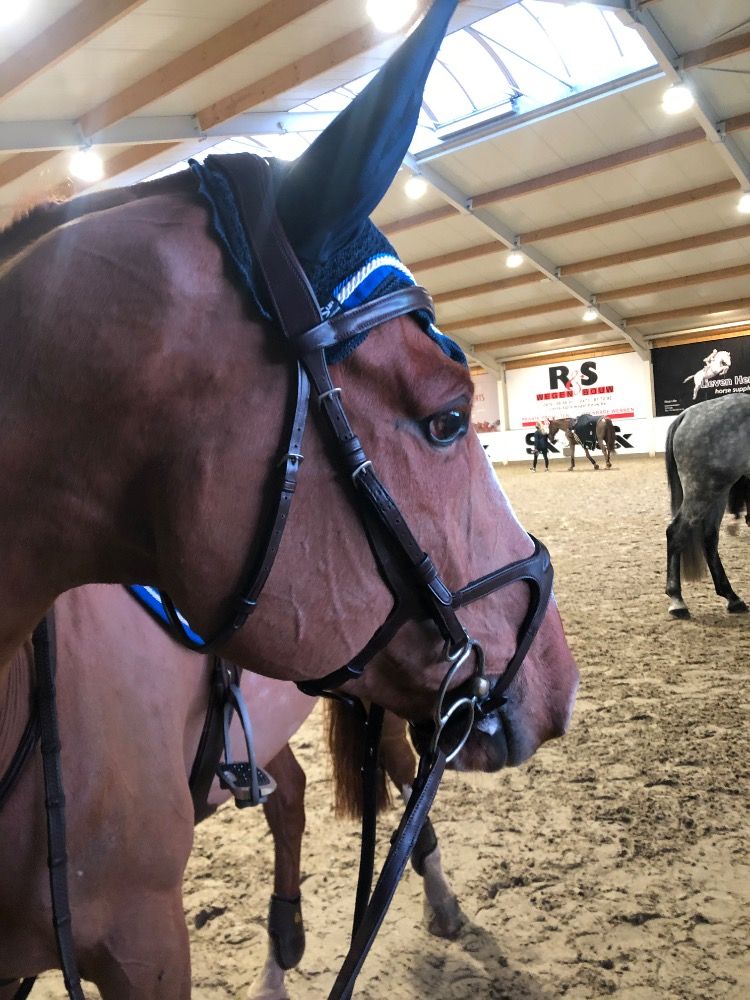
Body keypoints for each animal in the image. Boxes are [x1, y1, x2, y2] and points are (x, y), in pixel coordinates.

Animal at [664, 393, 750, 619]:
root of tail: (686, 415)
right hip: (704, 490)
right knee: (676, 533)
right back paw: (677, 601)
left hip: (719, 491)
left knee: (709, 538)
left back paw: (732, 597)